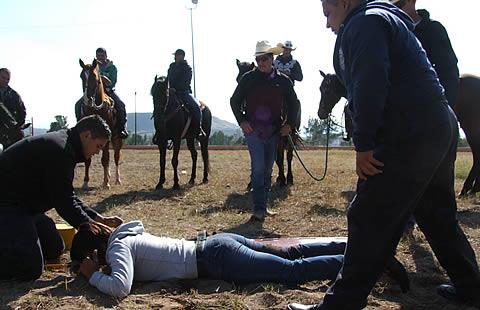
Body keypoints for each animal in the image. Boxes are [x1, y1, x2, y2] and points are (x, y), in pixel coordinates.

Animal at [79, 58, 124, 189]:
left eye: (94, 76)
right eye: (81, 76)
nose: (87, 99)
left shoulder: (107, 136)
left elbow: (105, 158)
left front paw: (106, 183)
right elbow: (87, 159)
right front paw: (85, 182)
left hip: (117, 138)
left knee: (115, 157)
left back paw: (116, 179)